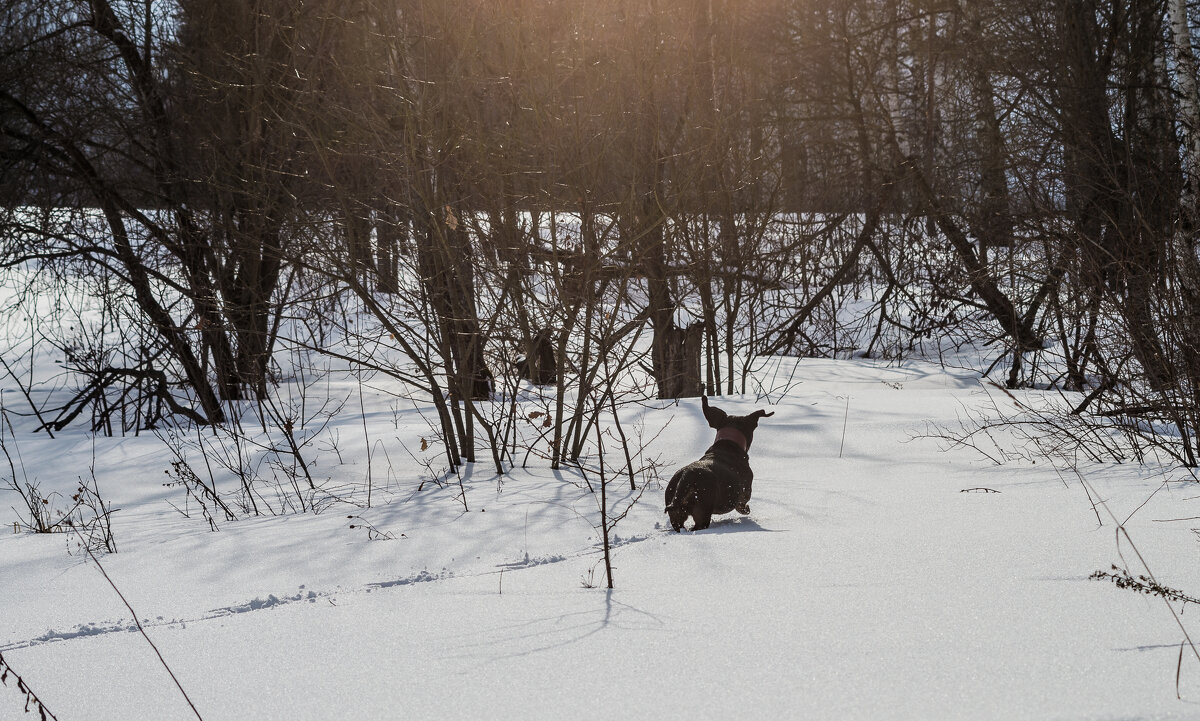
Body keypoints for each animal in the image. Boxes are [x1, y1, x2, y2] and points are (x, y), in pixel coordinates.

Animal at [662, 393, 772, 527]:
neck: (728, 443)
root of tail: (686, 476)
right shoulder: (744, 493)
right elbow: (742, 505)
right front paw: (747, 510)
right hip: (702, 509)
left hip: (675, 511)